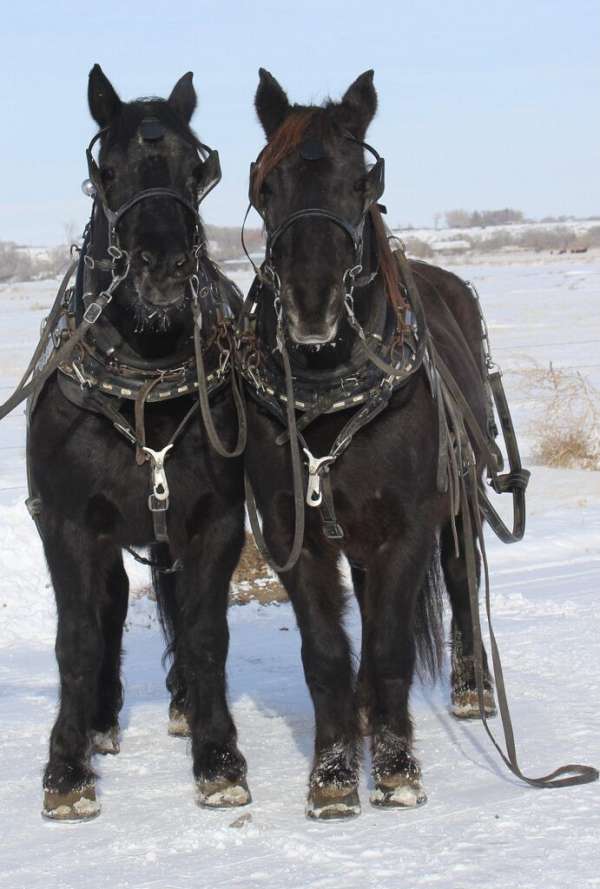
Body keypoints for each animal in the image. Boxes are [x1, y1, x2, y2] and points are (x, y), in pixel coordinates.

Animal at [25, 67, 248, 820]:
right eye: (108, 170)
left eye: (197, 169)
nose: (165, 268)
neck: (142, 381)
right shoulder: (68, 526)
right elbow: (77, 637)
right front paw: (68, 770)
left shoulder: (214, 520)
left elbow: (206, 632)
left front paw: (217, 755)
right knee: (111, 605)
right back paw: (99, 718)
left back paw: (182, 706)